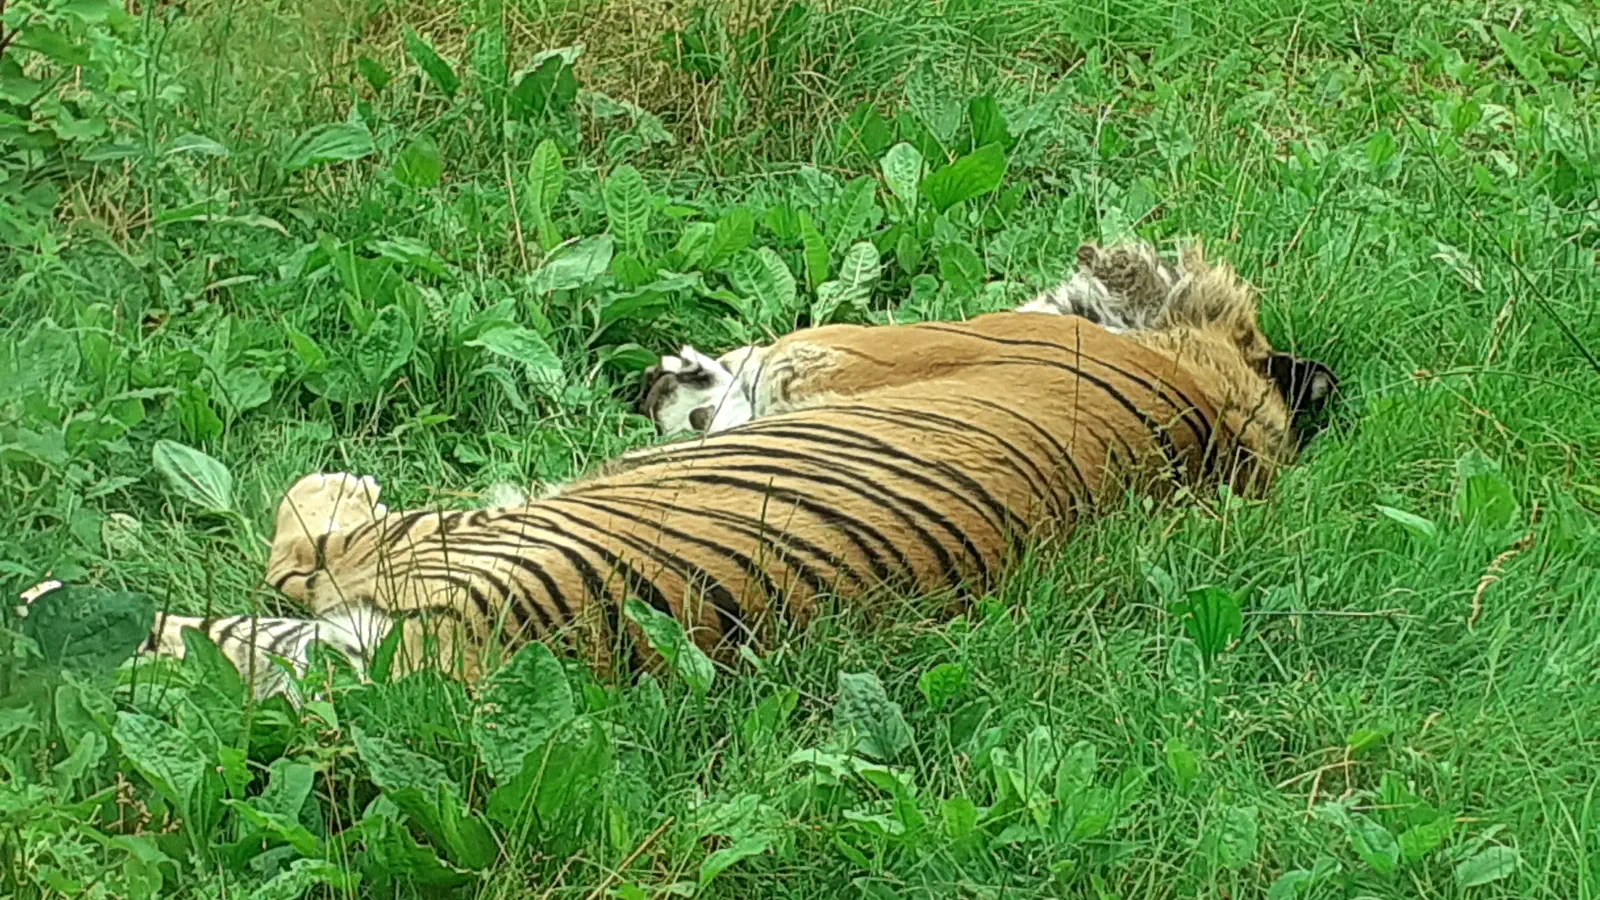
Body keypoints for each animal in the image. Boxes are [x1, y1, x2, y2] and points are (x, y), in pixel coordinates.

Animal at [20, 239, 1337, 699]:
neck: (1216, 405)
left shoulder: (839, 348)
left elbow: (759, 359)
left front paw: (683, 380)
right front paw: (682, 384)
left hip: (427, 549)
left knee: (300, 548)